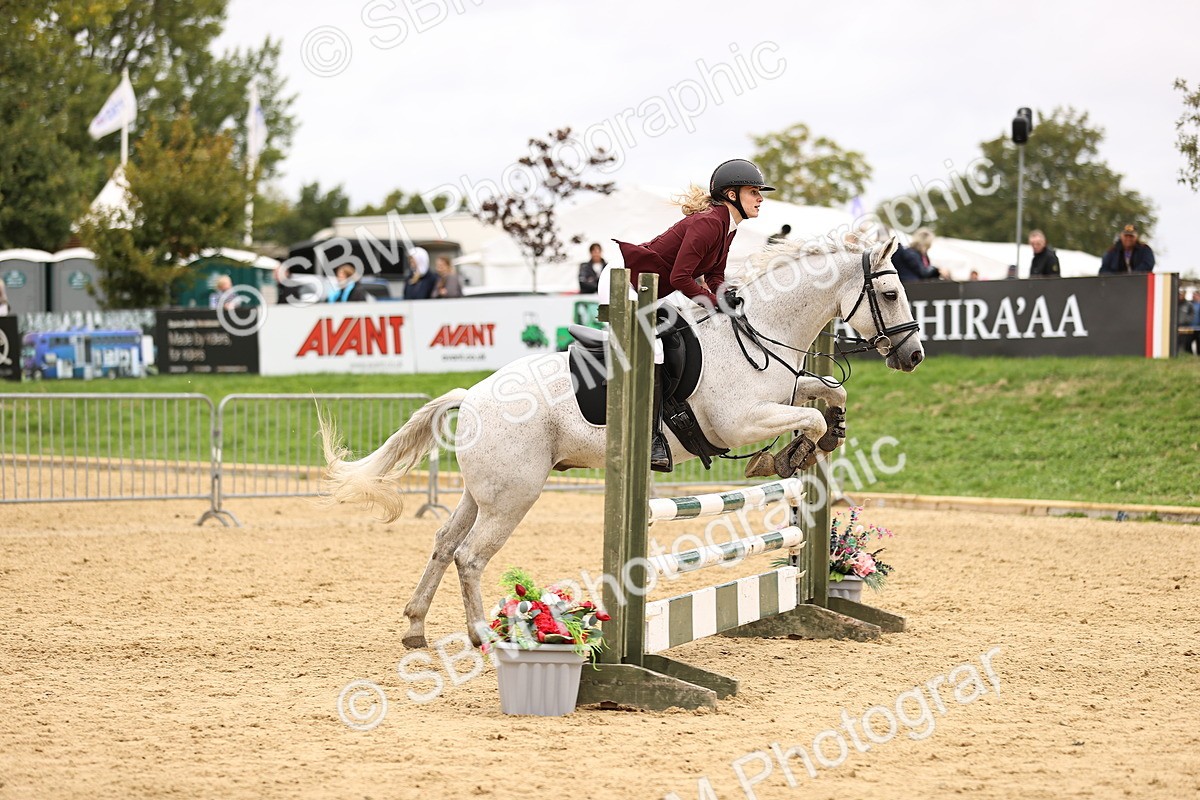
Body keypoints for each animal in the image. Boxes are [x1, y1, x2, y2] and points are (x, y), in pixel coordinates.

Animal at [318, 235, 925, 648]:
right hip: (514, 495)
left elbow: (827, 395)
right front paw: (786, 456)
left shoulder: (786, 388)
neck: (759, 330)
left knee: (445, 542)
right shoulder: (742, 421)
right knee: (469, 556)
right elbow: (808, 421)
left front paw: (823, 433)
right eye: (891, 292)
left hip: (483, 491)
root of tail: (472, 396)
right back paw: (480, 636)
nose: (914, 356)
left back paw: (416, 627)